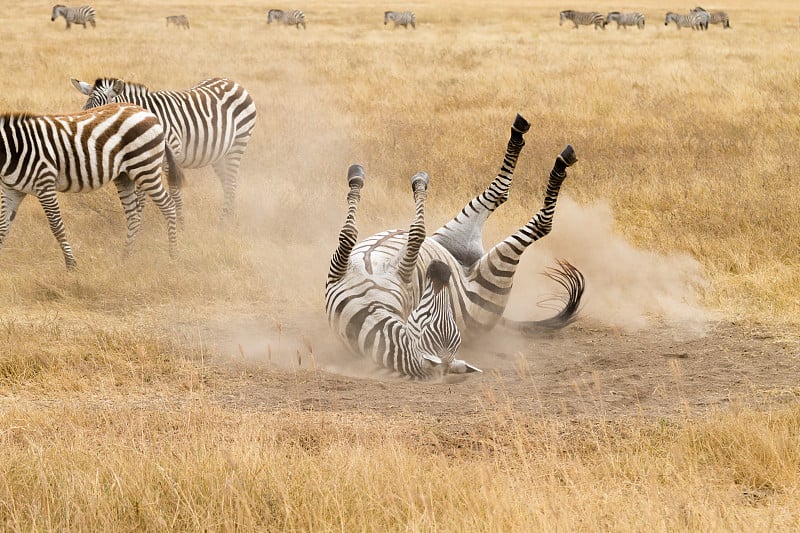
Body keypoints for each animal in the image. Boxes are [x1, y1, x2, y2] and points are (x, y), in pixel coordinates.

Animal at [0, 103, 181, 270]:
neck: (14, 150)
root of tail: (148, 113)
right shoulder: (12, 190)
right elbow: (3, 226)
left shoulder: (44, 183)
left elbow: (56, 226)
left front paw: (71, 265)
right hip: (125, 176)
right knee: (134, 216)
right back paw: (125, 258)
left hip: (145, 167)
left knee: (168, 206)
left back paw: (172, 256)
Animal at [72, 76, 258, 222]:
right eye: (84, 111)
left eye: (100, 113)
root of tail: (232, 82)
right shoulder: (142, 158)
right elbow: (141, 196)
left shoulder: (169, 156)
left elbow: (174, 192)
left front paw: (181, 224)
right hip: (219, 154)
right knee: (227, 182)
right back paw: (229, 218)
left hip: (238, 144)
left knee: (231, 182)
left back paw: (224, 222)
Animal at [324, 113, 580, 378]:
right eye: (434, 318)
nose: (440, 268)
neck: (370, 310)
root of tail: (467, 265)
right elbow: (383, 233)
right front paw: (374, 182)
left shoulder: (353, 268)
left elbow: (401, 232)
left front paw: (399, 183)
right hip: (485, 259)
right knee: (528, 212)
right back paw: (554, 157)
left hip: (458, 239)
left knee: (506, 196)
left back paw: (533, 140)